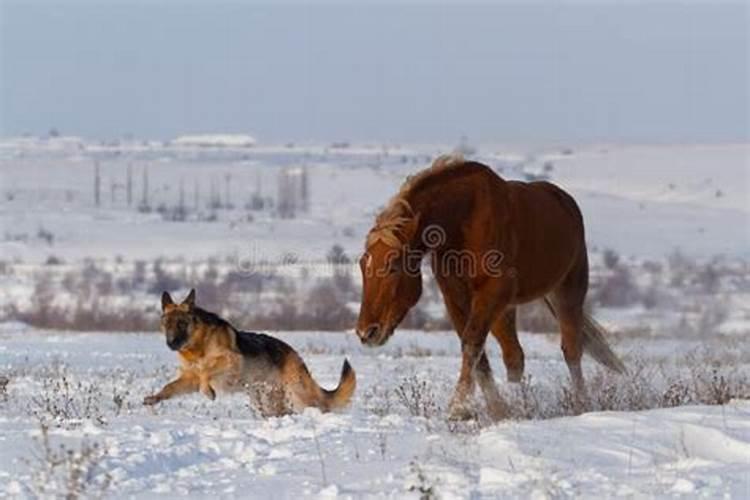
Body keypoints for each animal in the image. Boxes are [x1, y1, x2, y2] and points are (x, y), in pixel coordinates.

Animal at [148, 288, 360, 416]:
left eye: (182, 323)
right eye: (167, 324)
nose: (171, 343)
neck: (198, 345)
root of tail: (293, 353)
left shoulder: (230, 361)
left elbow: (205, 372)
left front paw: (208, 392)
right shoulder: (188, 378)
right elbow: (171, 386)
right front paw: (154, 398)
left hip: (298, 392)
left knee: (322, 404)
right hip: (266, 401)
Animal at [356, 154, 624, 420]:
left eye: (393, 265)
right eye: (361, 265)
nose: (366, 332)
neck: (464, 218)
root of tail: (566, 203)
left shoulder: (491, 293)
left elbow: (472, 343)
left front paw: (459, 407)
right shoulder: (456, 297)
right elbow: (477, 352)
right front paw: (497, 409)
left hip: (567, 292)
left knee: (571, 350)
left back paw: (580, 405)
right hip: (505, 310)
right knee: (515, 356)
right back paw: (521, 402)